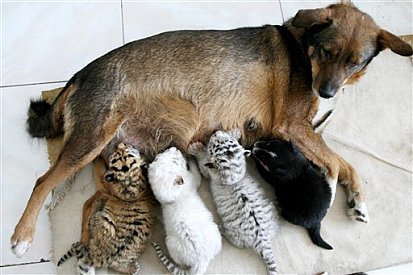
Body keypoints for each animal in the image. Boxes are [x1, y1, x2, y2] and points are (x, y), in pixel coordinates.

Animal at [11, 3, 410, 258]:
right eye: (326, 52)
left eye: (355, 62)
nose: (325, 92)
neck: (303, 50)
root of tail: (79, 75)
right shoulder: (294, 126)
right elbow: (342, 164)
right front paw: (348, 194)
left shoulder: (305, 130)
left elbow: (338, 160)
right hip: (91, 140)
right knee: (43, 183)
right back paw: (22, 236)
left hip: (108, 160)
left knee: (87, 203)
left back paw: (84, 245)